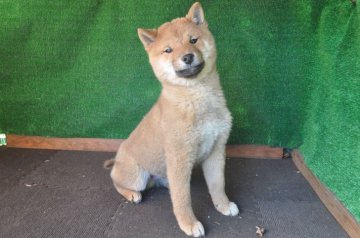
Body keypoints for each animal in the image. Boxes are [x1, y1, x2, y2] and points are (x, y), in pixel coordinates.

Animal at [104, 1, 239, 236]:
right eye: (168, 50)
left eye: (193, 40)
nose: (187, 57)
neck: (197, 98)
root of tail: (118, 158)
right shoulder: (179, 157)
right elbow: (182, 199)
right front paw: (189, 224)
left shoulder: (216, 150)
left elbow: (217, 184)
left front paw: (223, 205)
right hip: (136, 176)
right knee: (117, 181)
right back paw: (131, 194)